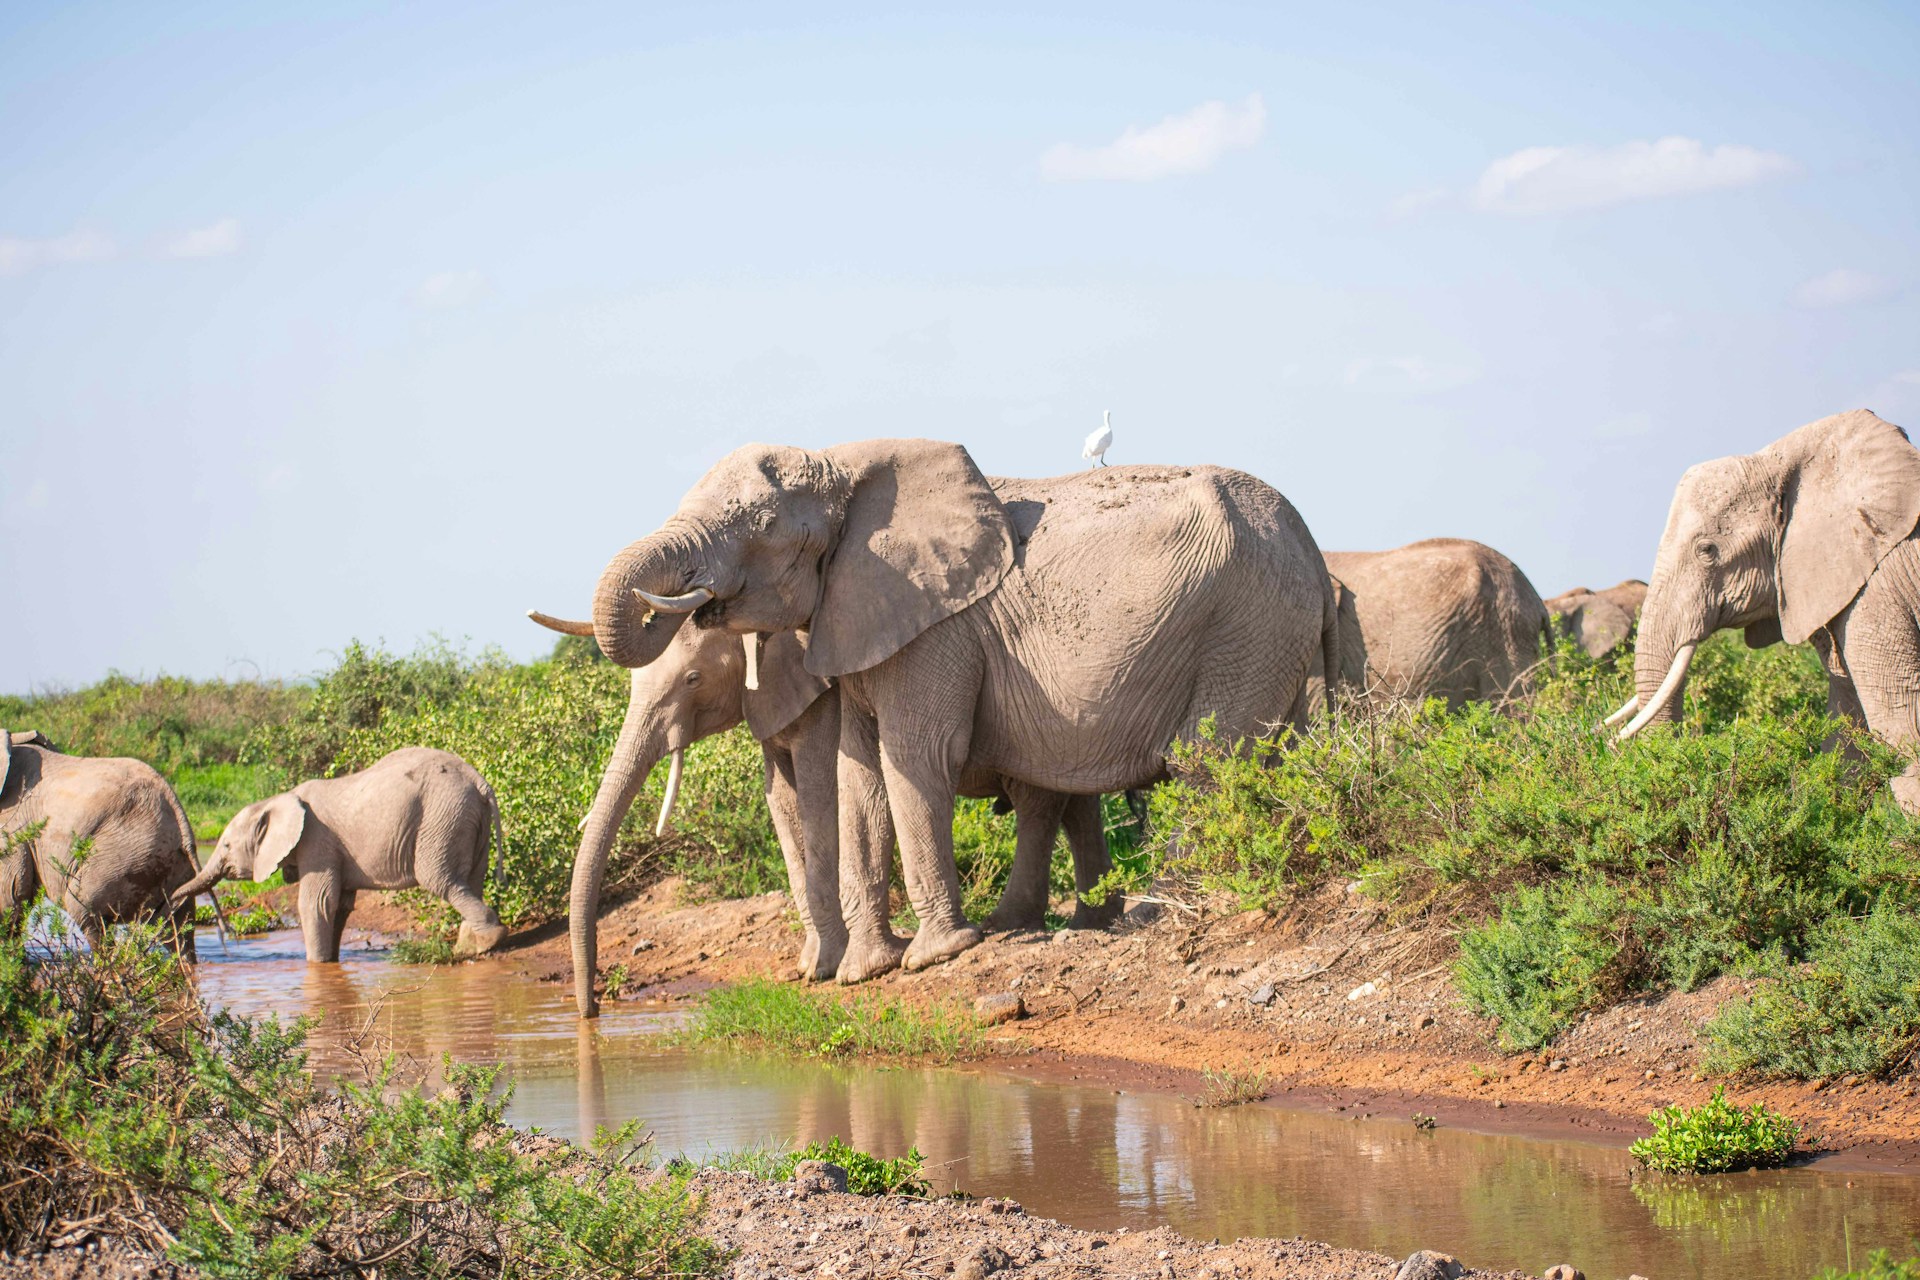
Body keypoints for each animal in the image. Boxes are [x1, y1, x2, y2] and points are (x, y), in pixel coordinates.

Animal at [0, 729, 202, 955]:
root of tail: (179, 816)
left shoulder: (12, 827)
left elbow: (9, 898)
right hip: (170, 866)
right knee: (177, 930)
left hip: (125, 854)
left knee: (83, 908)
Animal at [171, 747, 507, 962]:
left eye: (227, 846)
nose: (170, 902)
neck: (277, 799)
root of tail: (480, 781)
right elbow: (340, 906)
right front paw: (331, 961)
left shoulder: (316, 840)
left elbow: (316, 902)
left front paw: (316, 966)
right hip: (465, 818)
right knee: (472, 877)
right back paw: (471, 947)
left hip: (443, 817)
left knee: (439, 878)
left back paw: (488, 940)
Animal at [523, 608, 1116, 1006]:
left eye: (692, 679)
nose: (592, 1010)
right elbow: (781, 800)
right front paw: (809, 967)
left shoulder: (822, 696)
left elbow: (817, 790)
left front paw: (828, 967)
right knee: (1073, 800)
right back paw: (1096, 921)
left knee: (1040, 800)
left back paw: (1023, 922)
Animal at [1607, 409, 1920, 813]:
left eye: (1707, 550)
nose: (1610, 743)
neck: (1778, 459)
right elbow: (1845, 719)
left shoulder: (1878, 587)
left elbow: (1898, 711)